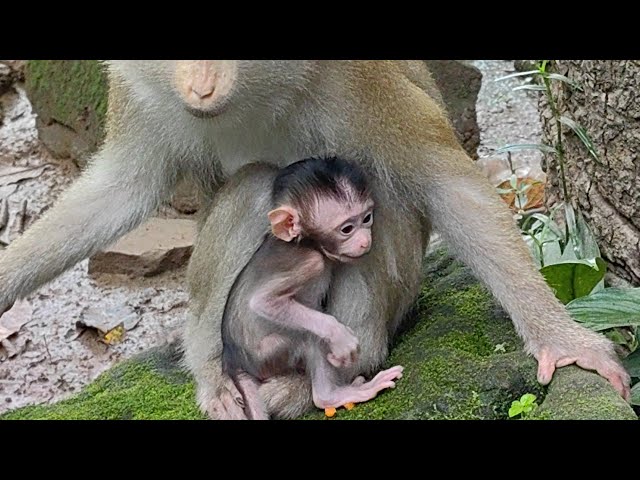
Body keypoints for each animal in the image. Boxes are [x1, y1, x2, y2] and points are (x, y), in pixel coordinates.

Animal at [221, 157, 403, 419]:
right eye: (347, 229)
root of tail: (231, 359)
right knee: (309, 336)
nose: (365, 241)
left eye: (366, 218)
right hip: (267, 356)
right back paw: (331, 395)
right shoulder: (309, 261)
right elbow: (263, 302)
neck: (309, 243)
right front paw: (339, 334)